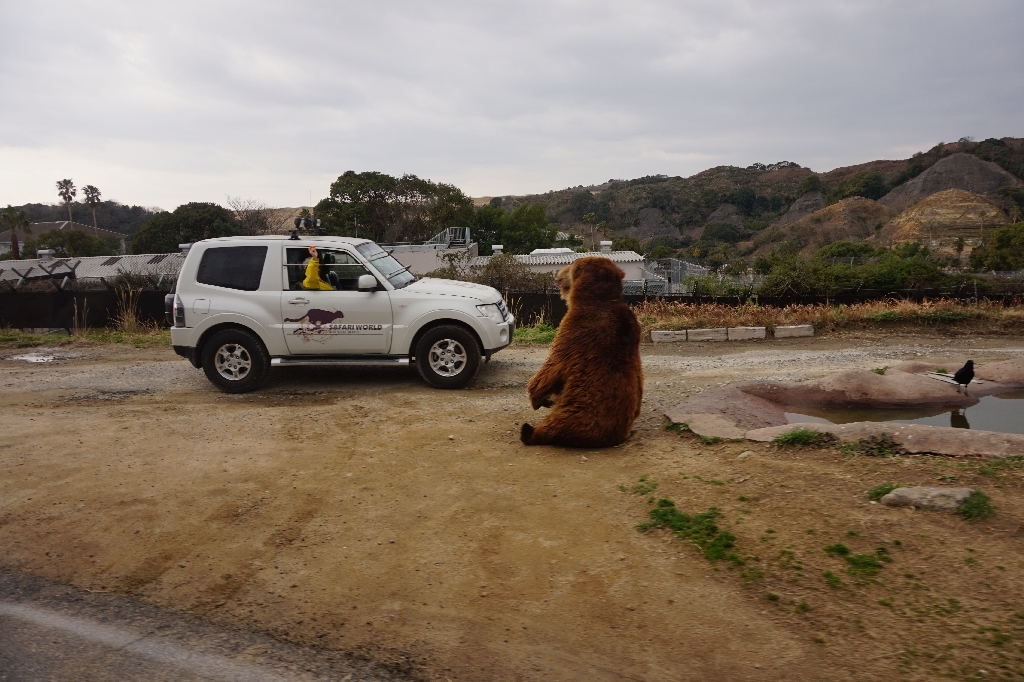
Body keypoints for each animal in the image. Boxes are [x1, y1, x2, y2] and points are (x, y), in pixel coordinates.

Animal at [520, 254, 638, 446]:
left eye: (571, 265)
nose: (557, 272)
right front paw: (544, 399)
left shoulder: (574, 329)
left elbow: (552, 365)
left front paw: (536, 397)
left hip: (575, 412)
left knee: (553, 426)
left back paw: (529, 431)